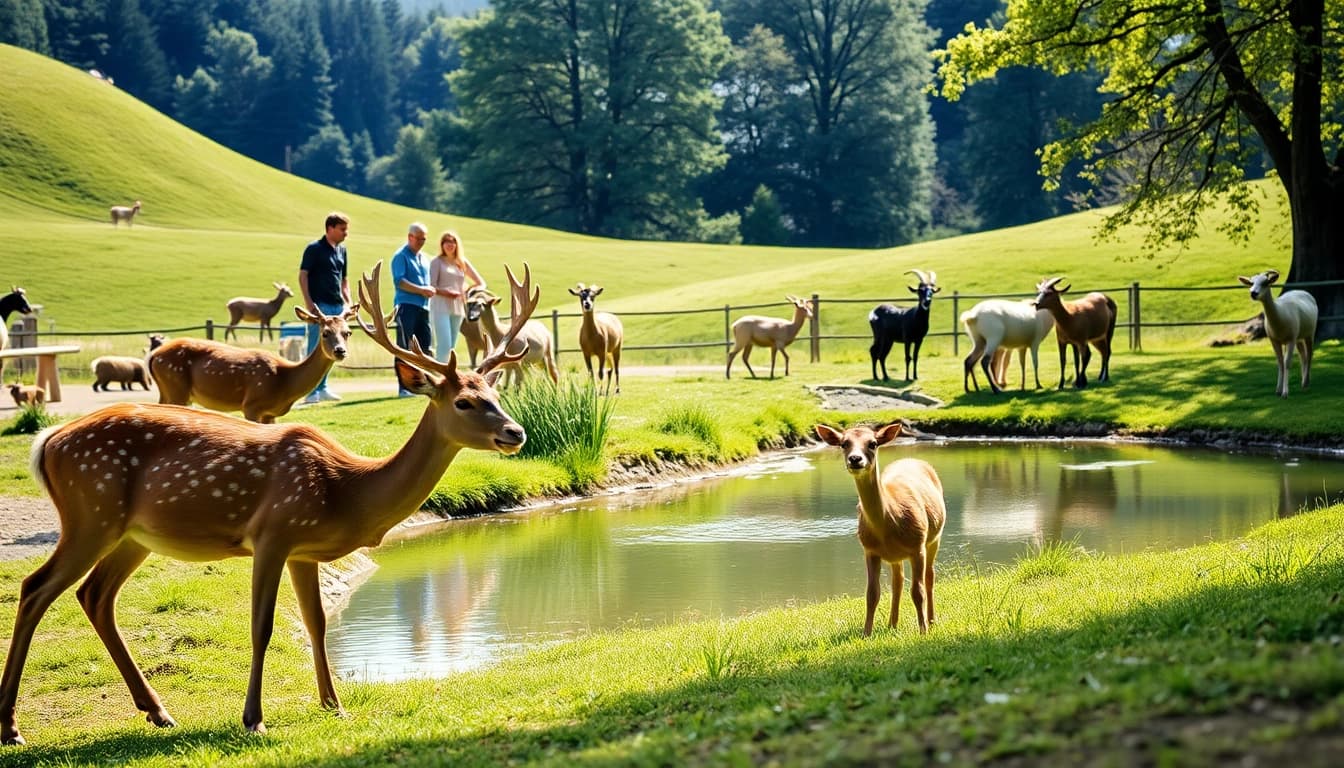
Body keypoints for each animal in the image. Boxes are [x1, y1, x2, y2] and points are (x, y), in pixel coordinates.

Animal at [148, 305, 360, 423]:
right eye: (325, 333)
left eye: (348, 332)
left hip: (167, 390)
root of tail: (153, 355)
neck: (285, 382)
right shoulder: (251, 404)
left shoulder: (270, 414)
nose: (340, 351)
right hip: (176, 387)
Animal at [815, 422, 946, 636]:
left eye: (873, 443)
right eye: (844, 443)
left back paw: (932, 620)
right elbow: (872, 593)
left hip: (934, 537)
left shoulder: (917, 545)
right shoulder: (870, 550)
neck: (890, 521)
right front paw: (866, 633)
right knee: (897, 580)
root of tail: (912, 459)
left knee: (929, 576)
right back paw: (892, 624)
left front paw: (923, 630)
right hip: (896, 555)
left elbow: (917, 591)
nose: (855, 459)